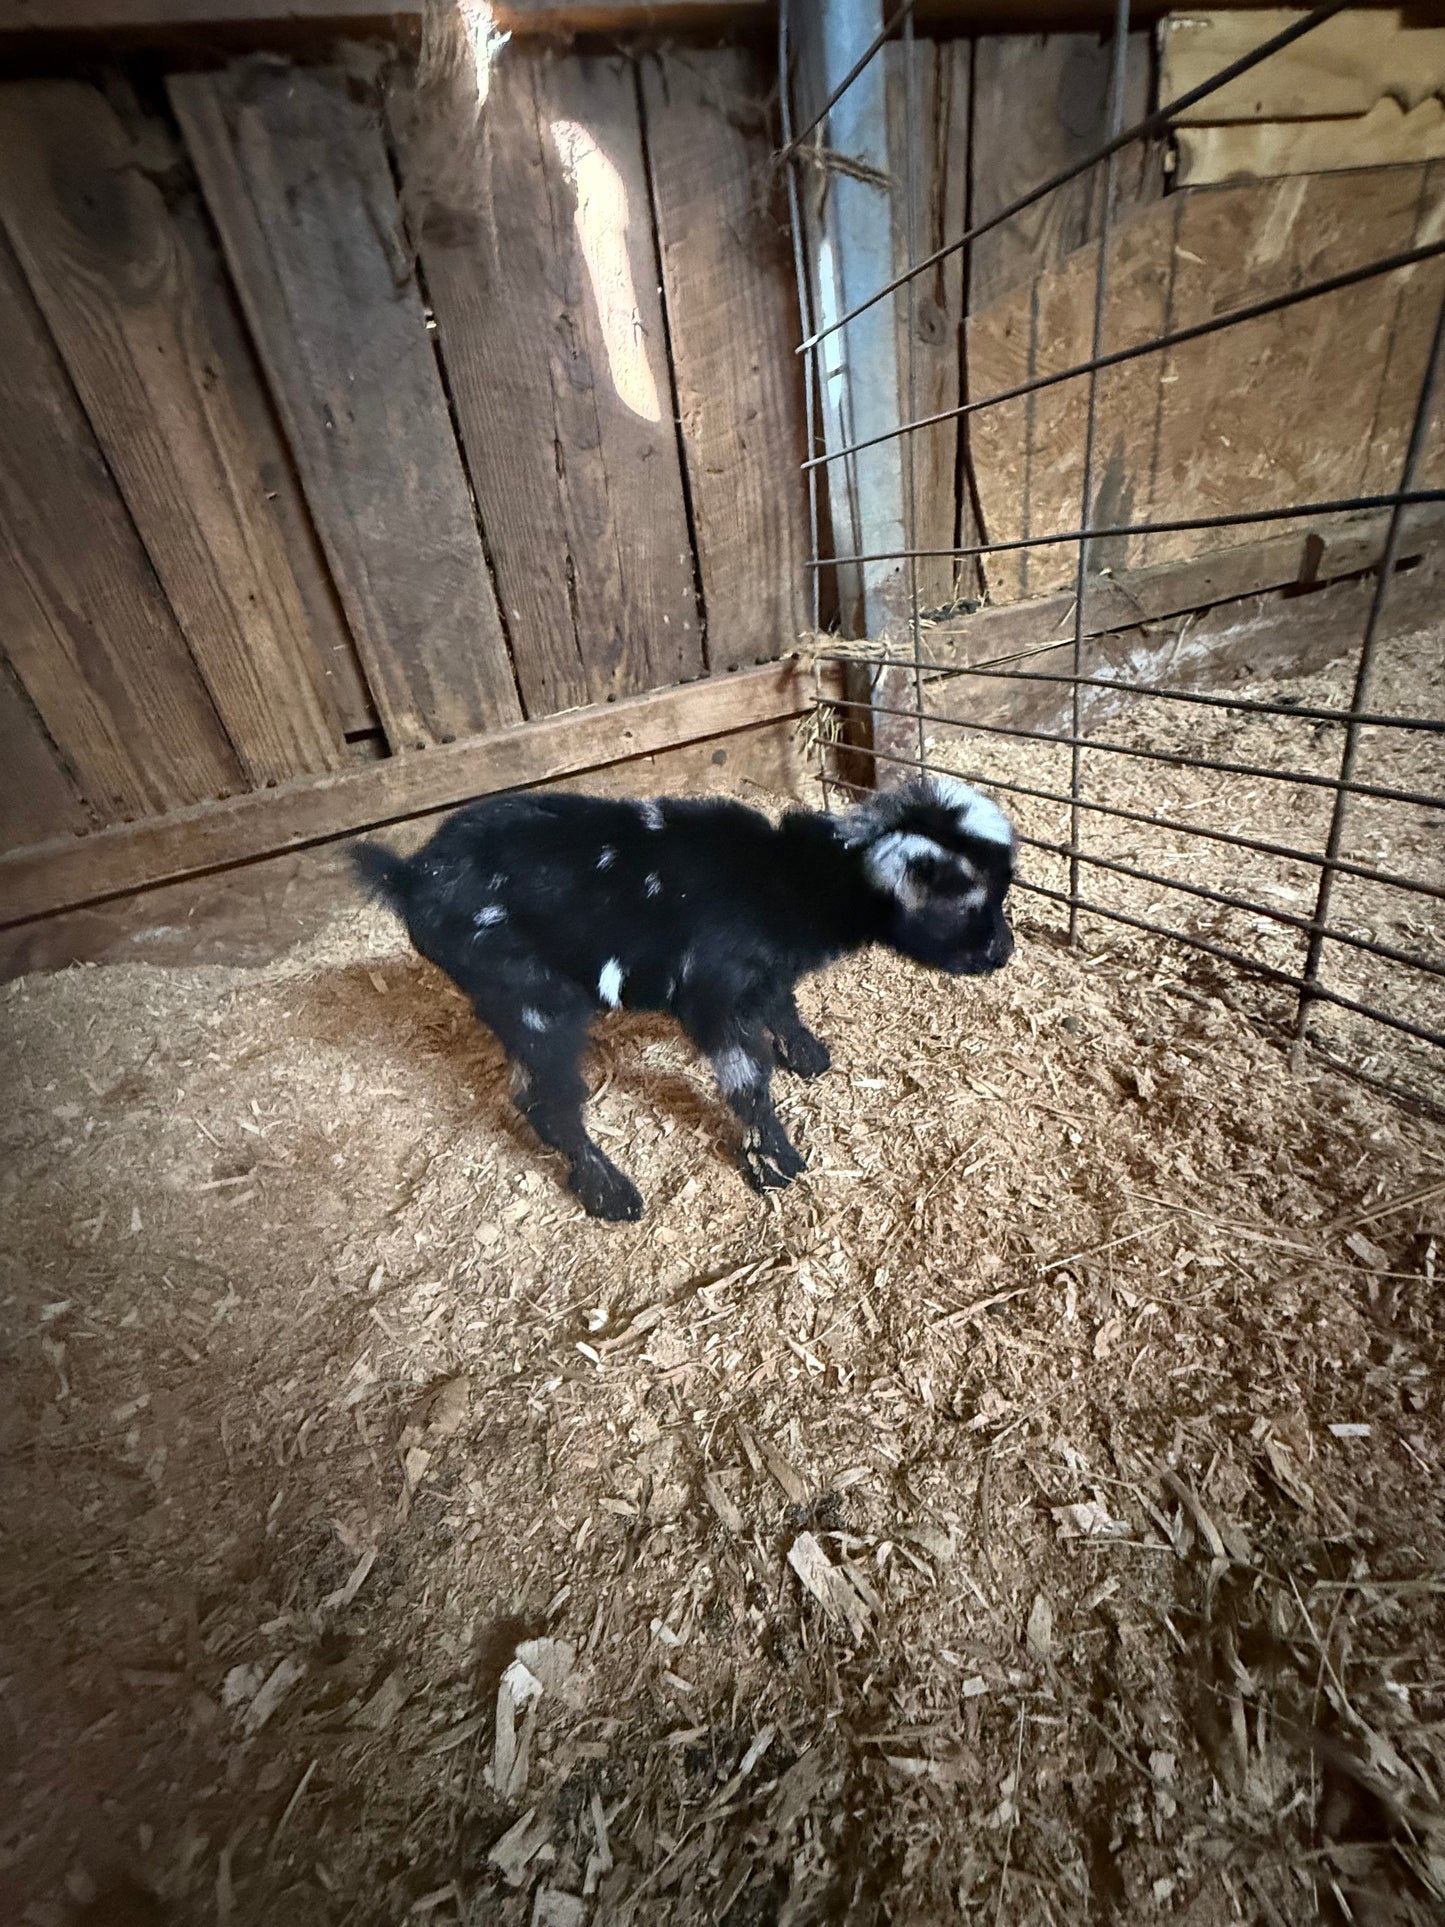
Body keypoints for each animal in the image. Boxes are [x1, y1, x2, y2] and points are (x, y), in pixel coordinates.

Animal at [351, 775, 1016, 1221]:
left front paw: (807, 1055)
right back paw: (611, 1193)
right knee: (544, 1099)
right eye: (967, 904)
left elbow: (782, 1005)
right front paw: (775, 1161)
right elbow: (746, 1082)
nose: (1004, 952)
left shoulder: (760, 976)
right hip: (529, 996)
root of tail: (409, 878)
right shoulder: (715, 993)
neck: (792, 881)